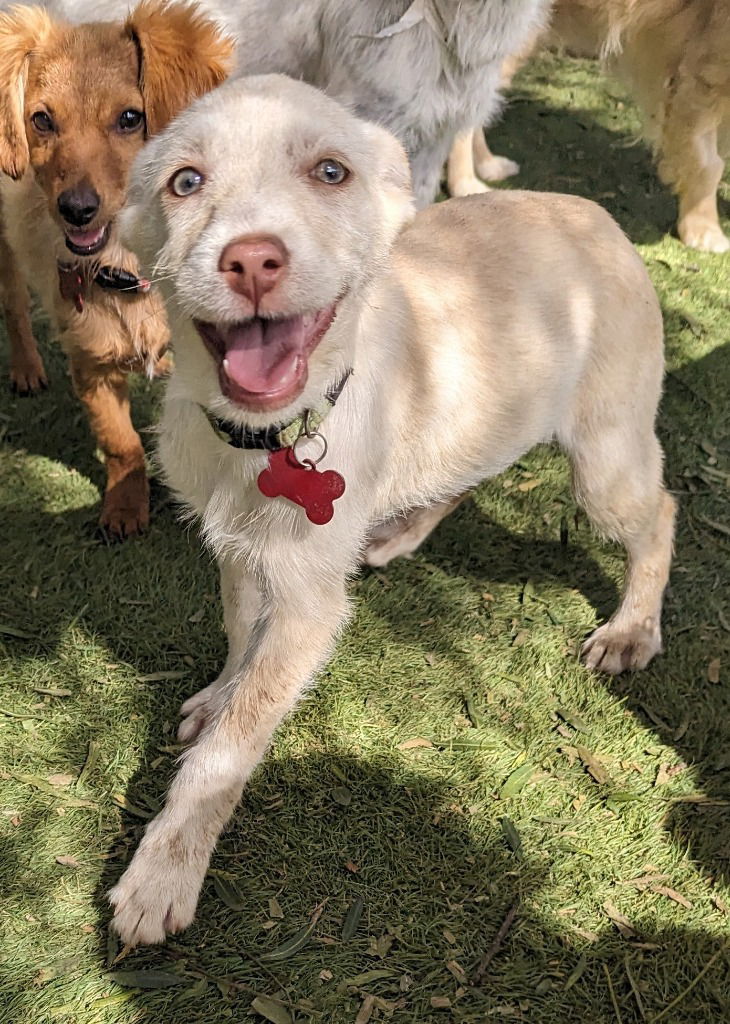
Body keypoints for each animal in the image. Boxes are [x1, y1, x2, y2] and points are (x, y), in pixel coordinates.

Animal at [0, 4, 232, 536]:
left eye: (130, 118)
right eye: (41, 120)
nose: (76, 210)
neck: (130, 272)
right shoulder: (91, 366)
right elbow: (121, 444)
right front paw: (125, 508)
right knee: (14, 309)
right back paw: (26, 369)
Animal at [109, 75, 675, 946]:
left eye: (331, 172)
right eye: (185, 181)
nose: (252, 259)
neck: (269, 440)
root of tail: (597, 213)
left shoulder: (310, 599)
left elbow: (231, 748)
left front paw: (162, 874)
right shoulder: (240, 547)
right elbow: (240, 636)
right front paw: (219, 695)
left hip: (606, 457)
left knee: (662, 513)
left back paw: (631, 630)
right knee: (469, 469)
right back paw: (405, 527)